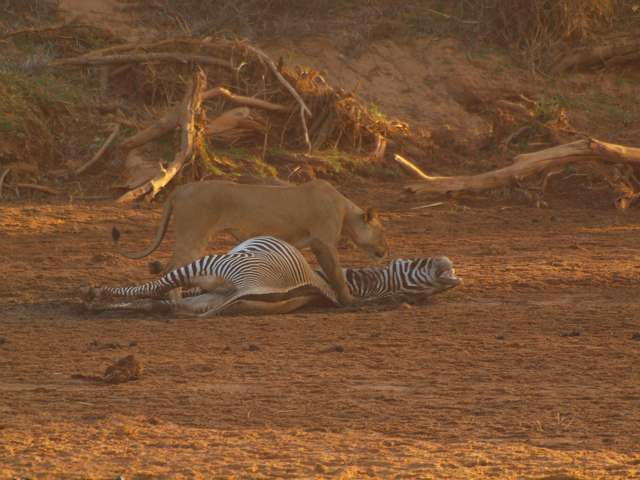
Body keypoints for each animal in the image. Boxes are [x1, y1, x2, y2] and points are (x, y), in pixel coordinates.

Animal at [112, 179, 388, 305]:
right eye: (383, 231)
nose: (387, 250)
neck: (345, 209)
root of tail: (182, 188)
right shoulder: (323, 243)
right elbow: (336, 275)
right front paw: (350, 301)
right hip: (194, 233)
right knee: (172, 268)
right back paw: (177, 303)